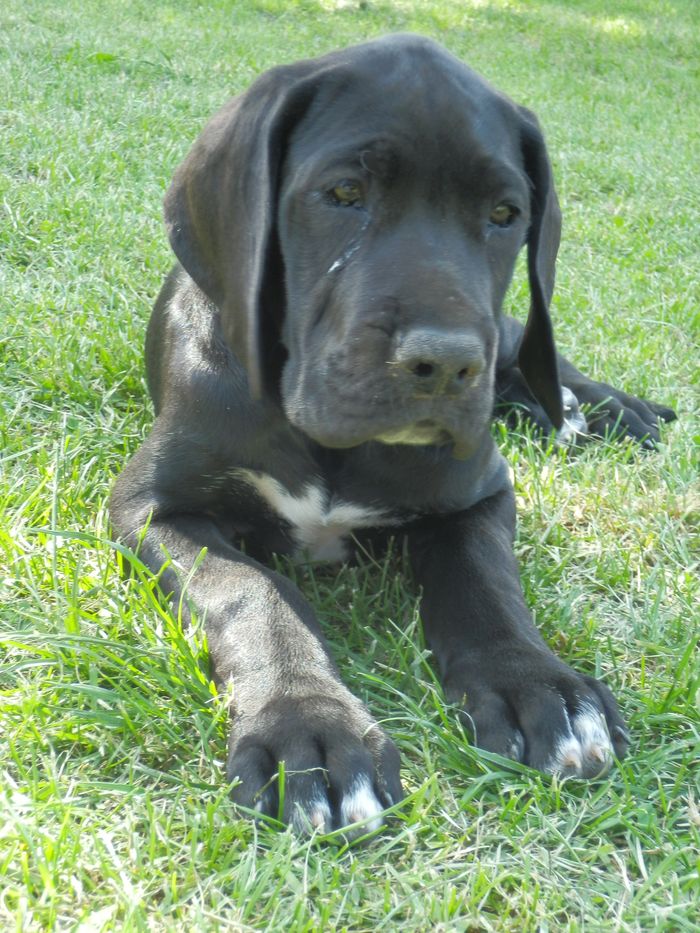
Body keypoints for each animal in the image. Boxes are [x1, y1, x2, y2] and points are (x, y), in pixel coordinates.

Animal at [110, 34, 676, 834]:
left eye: (505, 213)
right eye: (345, 193)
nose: (446, 364)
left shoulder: (480, 493)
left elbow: (484, 577)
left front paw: (538, 687)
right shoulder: (153, 506)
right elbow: (252, 589)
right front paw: (307, 726)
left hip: (509, 337)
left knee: (536, 352)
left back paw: (605, 408)